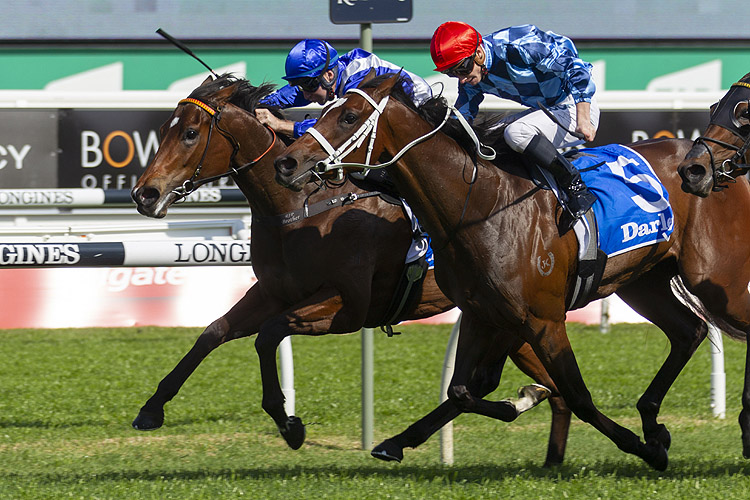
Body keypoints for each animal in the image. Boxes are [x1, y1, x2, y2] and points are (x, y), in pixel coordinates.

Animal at [129, 75, 568, 464]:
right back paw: (543, 441)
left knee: (544, 386)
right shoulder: (273, 292)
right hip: (509, 322)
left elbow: (268, 335)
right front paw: (151, 409)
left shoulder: (347, 306)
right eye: (165, 130)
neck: (304, 207)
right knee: (554, 390)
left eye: (189, 133)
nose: (144, 194)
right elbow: (214, 332)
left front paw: (289, 424)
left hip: (513, 320)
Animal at [274, 73, 750, 468]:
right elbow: (463, 388)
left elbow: (576, 395)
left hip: (716, 278)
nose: (287, 163)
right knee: (688, 331)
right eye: (323, 110)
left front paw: (643, 448)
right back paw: (654, 419)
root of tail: (711, 167)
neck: (480, 207)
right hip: (643, 281)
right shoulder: (483, 313)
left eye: (349, 116)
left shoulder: (544, 320)